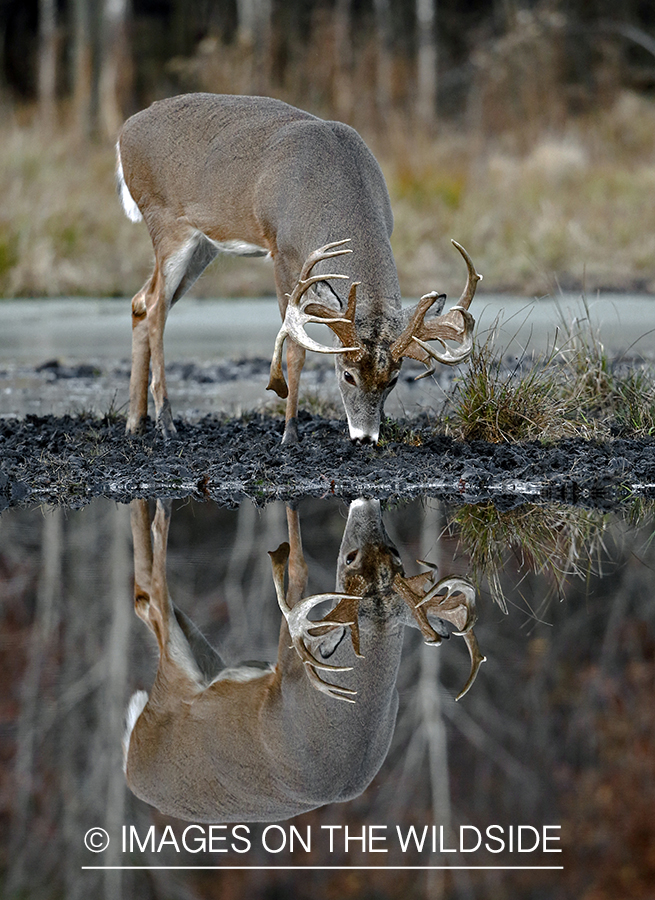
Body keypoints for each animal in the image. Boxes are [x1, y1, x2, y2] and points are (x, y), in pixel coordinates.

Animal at [116, 93, 482, 444]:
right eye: (347, 374)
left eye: (392, 379)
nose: (365, 437)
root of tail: (124, 132)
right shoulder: (281, 251)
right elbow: (295, 347)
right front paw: (290, 432)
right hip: (166, 222)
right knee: (156, 307)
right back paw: (166, 422)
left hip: (203, 245)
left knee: (140, 300)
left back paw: (135, 422)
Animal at [124, 496, 482, 828]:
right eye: (395, 552)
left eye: (350, 557)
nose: (367, 502)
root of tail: (130, 765)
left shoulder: (286, 671)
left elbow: (299, 567)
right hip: (207, 658)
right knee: (145, 595)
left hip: (177, 678)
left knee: (149, 598)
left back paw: (159, 511)